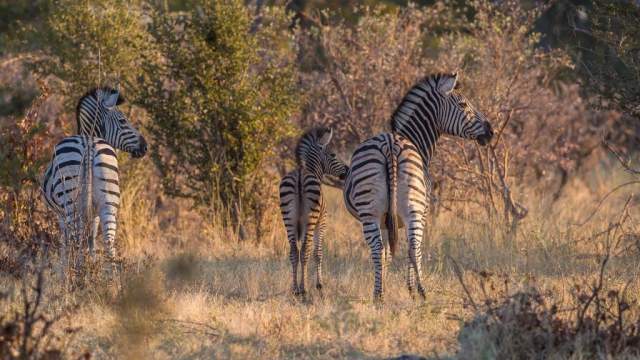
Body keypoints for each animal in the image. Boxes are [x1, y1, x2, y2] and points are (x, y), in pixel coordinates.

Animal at [42, 86, 148, 272]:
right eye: (123, 121)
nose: (145, 147)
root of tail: (88, 143)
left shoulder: (61, 215)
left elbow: (66, 242)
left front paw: (65, 268)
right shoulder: (93, 213)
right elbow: (90, 240)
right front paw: (90, 264)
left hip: (71, 201)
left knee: (76, 238)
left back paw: (77, 273)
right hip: (109, 199)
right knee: (108, 242)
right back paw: (110, 277)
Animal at [278, 128, 350, 296]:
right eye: (333, 155)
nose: (348, 170)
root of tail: (299, 175)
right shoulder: (321, 223)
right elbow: (318, 253)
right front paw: (319, 284)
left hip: (288, 219)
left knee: (293, 251)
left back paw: (295, 289)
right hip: (311, 220)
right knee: (305, 251)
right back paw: (304, 289)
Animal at [344, 73, 496, 300]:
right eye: (463, 104)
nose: (491, 131)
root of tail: (390, 144)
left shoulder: (386, 221)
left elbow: (387, 252)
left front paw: (385, 285)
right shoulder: (423, 212)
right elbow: (414, 250)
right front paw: (411, 289)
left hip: (369, 212)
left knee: (377, 248)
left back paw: (378, 295)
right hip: (413, 209)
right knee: (413, 246)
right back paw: (422, 292)